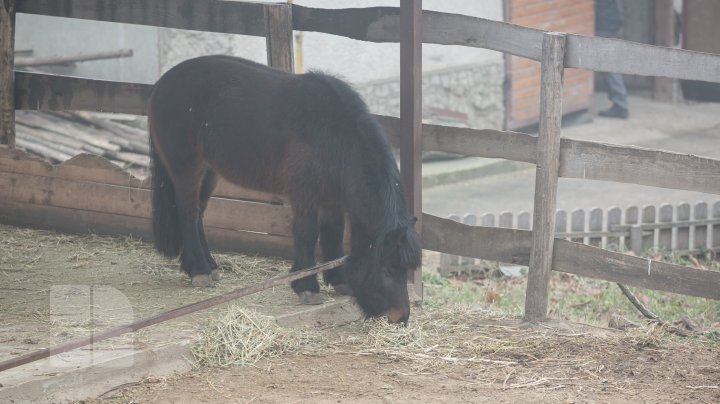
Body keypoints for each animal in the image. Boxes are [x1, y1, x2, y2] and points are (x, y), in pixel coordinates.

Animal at [149, 56, 422, 322]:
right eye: (388, 269)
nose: (400, 317)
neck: (337, 138)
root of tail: (160, 85)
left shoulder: (331, 200)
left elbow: (333, 233)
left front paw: (338, 280)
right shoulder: (304, 196)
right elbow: (307, 234)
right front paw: (307, 286)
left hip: (209, 171)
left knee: (199, 213)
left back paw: (209, 265)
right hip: (187, 168)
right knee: (187, 213)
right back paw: (199, 270)